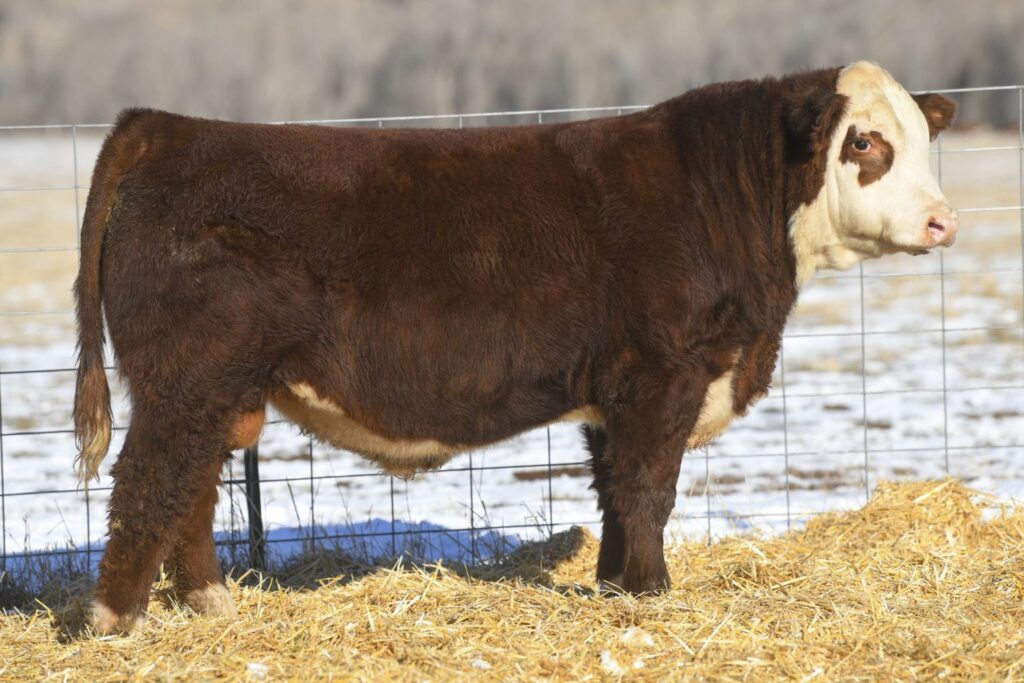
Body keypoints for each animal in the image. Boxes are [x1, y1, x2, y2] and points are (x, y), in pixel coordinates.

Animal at [72, 61, 957, 634]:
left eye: (923, 140)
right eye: (864, 144)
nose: (942, 220)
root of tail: (163, 128)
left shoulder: (613, 392)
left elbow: (613, 492)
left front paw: (615, 586)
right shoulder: (659, 375)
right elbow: (649, 489)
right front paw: (652, 594)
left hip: (220, 389)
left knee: (190, 486)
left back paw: (209, 605)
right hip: (187, 378)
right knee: (149, 482)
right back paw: (115, 622)